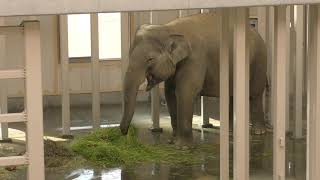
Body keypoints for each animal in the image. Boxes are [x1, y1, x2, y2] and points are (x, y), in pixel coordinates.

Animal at [120, 11, 268, 148]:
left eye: (150, 59)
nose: (125, 133)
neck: (169, 29)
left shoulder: (195, 57)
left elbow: (185, 92)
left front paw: (183, 147)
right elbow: (170, 93)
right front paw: (172, 141)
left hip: (259, 60)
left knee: (255, 94)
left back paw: (258, 132)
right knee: (231, 96)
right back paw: (231, 132)